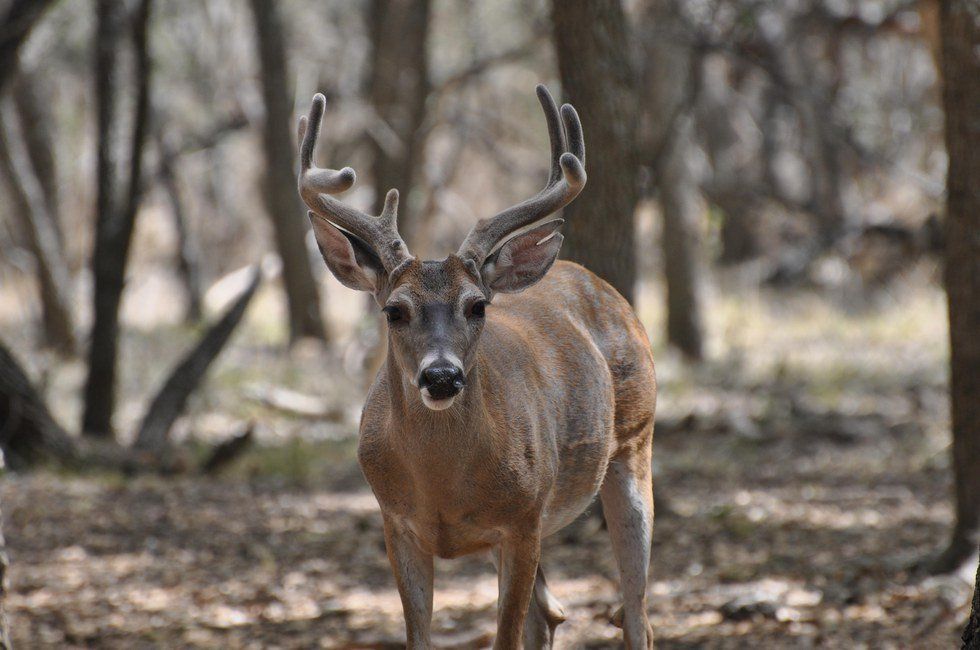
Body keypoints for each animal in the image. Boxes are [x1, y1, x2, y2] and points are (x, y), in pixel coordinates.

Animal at [296, 83, 660, 644]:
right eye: (394, 310)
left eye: (477, 306)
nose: (442, 376)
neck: (442, 487)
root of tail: (604, 288)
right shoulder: (396, 524)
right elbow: (421, 638)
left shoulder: (523, 519)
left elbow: (506, 637)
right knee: (550, 613)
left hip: (636, 445)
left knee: (637, 612)